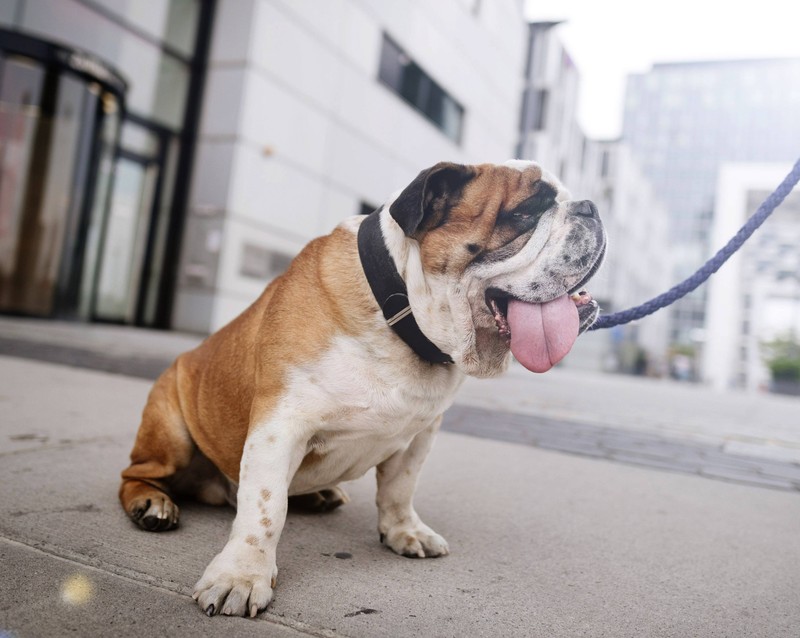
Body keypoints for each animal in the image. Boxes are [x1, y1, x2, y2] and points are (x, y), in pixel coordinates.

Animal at [120, 160, 608, 620]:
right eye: (527, 211)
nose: (590, 207)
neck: (401, 309)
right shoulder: (280, 425)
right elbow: (264, 508)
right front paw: (239, 575)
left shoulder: (421, 432)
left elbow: (400, 487)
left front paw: (404, 531)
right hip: (170, 424)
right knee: (138, 473)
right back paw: (153, 503)